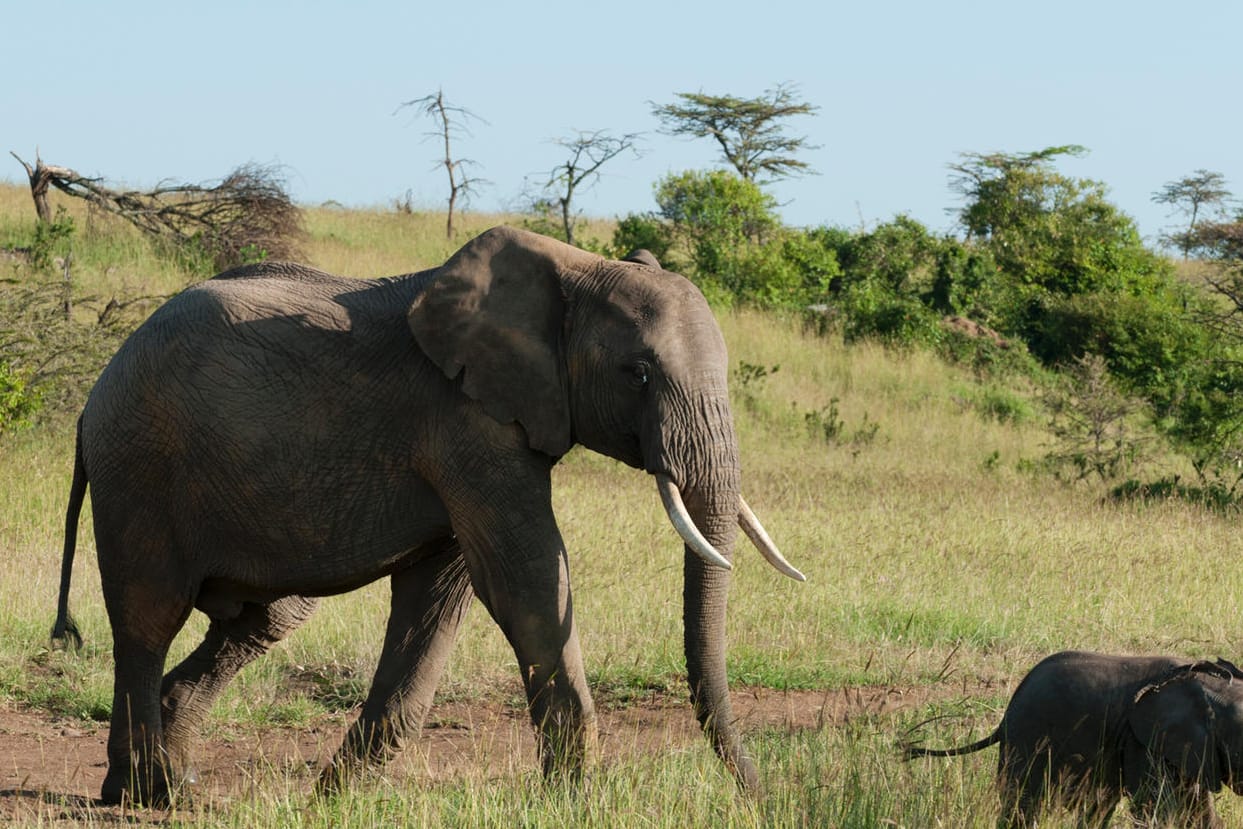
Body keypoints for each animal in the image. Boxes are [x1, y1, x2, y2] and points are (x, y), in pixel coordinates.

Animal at [53, 222, 800, 805]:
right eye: (637, 373)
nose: (761, 796)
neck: (575, 268)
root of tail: (91, 399)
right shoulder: (467, 423)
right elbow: (526, 579)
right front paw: (573, 801)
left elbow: (441, 595)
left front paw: (335, 801)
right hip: (140, 472)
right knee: (147, 620)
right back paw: (149, 792)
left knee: (264, 618)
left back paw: (159, 784)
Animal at [904, 651, 1243, 825]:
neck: (1211, 688)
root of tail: (1005, 716)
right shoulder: (1140, 741)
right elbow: (1155, 806)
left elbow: (1197, 805)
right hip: (1027, 738)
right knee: (1022, 802)